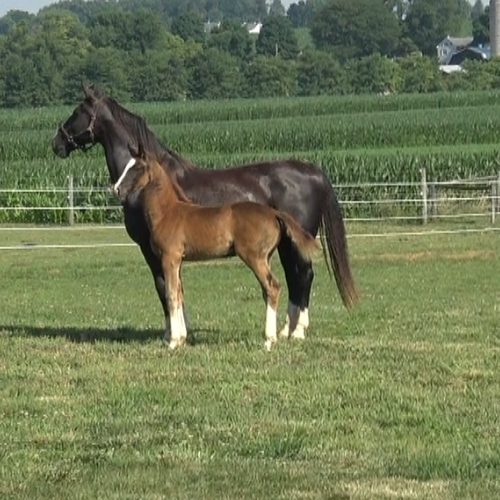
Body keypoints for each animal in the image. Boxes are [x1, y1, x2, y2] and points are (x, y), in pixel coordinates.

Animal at [50, 85, 358, 340]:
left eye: (77, 111)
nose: (56, 143)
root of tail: (314, 171)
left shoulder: (151, 250)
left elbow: (164, 288)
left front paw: (173, 334)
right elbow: (175, 288)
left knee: (303, 276)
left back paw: (295, 332)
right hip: (285, 244)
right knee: (296, 279)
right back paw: (286, 330)